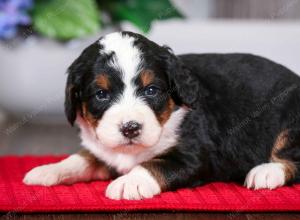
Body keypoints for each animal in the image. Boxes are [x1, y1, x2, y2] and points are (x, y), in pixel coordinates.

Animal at [23, 31, 300, 201]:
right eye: (101, 94)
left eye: (151, 90)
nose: (130, 127)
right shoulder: (103, 151)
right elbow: (81, 159)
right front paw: (48, 170)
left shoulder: (194, 157)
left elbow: (154, 165)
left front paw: (129, 182)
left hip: (291, 120)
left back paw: (266, 172)